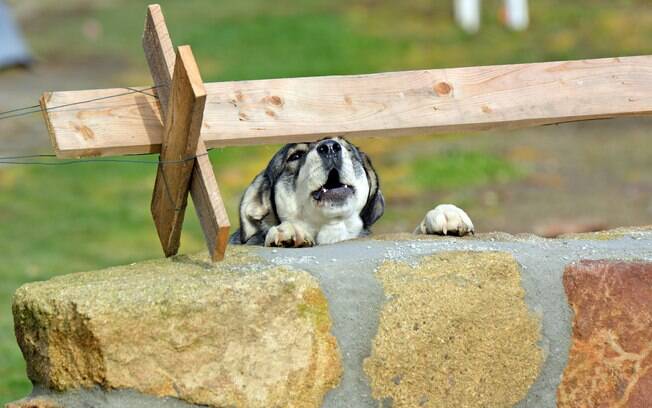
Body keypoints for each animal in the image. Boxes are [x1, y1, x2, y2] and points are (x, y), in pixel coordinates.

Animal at [229, 137, 474, 247]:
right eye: (295, 156)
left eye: (346, 149)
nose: (329, 147)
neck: (334, 231)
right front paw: (290, 230)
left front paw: (445, 214)